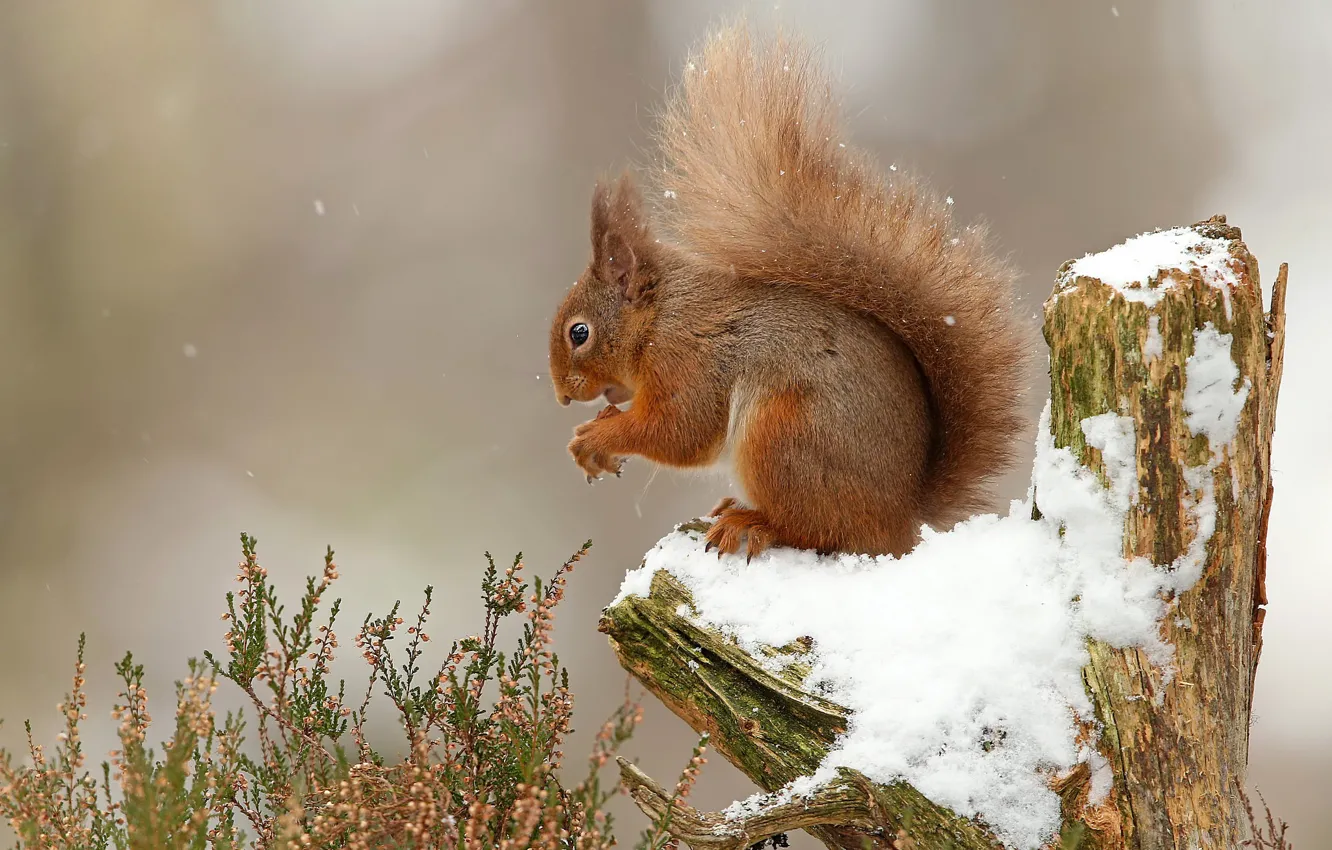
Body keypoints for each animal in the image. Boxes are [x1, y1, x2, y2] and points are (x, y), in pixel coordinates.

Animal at [546, 24, 1022, 559]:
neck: (661, 317)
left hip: (784, 436)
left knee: (819, 530)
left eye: (579, 333)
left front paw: (597, 435)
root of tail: (901, 521)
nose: (562, 396)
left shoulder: (690, 361)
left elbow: (680, 431)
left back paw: (753, 522)